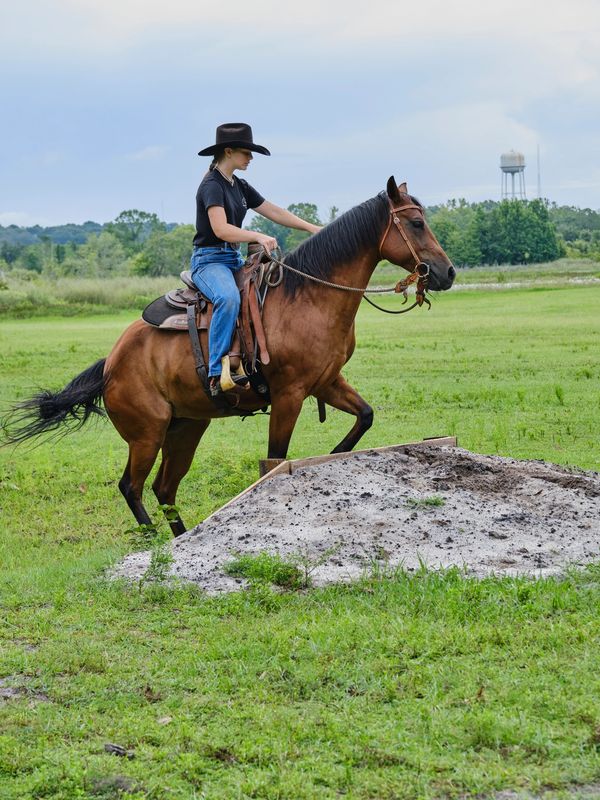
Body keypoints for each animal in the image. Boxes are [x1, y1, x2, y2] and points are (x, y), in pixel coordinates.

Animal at [4, 178, 455, 536]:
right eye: (416, 223)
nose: (447, 272)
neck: (309, 297)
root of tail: (111, 363)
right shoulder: (289, 395)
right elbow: (276, 458)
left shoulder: (326, 382)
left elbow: (364, 417)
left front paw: (333, 456)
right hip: (146, 434)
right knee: (132, 487)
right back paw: (153, 543)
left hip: (186, 427)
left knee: (164, 488)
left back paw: (181, 539)